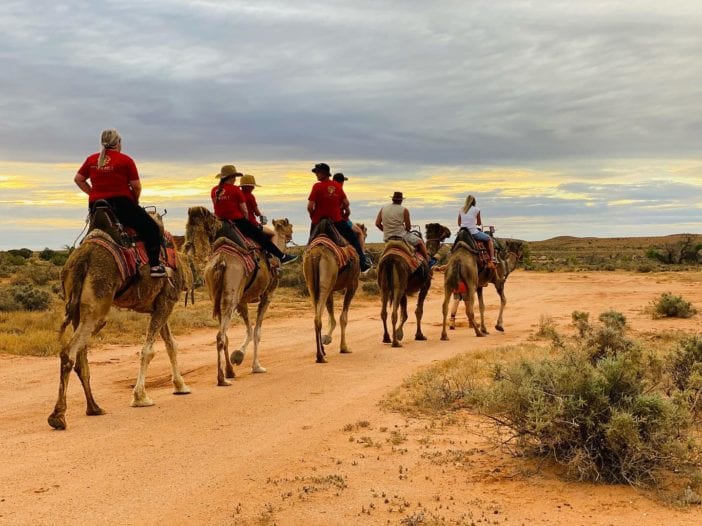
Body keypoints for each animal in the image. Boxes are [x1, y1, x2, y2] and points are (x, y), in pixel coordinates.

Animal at [47, 208, 191, 432]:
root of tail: (83, 258)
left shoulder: (159, 304)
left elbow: (171, 344)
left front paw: (180, 386)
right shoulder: (167, 300)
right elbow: (149, 350)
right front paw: (140, 397)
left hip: (77, 305)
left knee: (80, 357)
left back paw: (94, 408)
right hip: (98, 302)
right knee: (68, 352)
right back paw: (58, 416)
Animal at [184, 207, 294, 388]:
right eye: (289, 226)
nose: (291, 234)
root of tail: (220, 261)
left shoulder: (242, 301)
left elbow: (249, 329)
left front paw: (238, 356)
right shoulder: (267, 295)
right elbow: (257, 332)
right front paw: (256, 366)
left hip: (219, 296)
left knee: (224, 334)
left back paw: (229, 372)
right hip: (231, 295)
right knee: (220, 336)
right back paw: (222, 379)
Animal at [304, 221, 368, 366]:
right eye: (364, 235)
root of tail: (317, 254)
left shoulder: (331, 288)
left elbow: (331, 316)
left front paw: (326, 338)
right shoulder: (352, 284)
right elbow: (343, 318)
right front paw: (344, 347)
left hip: (312, 284)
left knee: (316, 315)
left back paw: (321, 353)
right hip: (327, 279)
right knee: (318, 317)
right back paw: (320, 356)